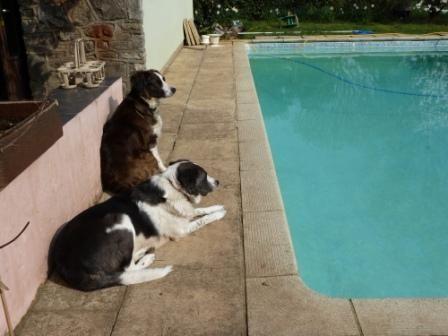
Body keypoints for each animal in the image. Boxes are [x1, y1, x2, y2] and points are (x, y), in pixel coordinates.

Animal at [50, 160, 226, 292]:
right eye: (204, 176)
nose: (218, 181)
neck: (173, 188)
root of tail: (66, 265)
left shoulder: (185, 213)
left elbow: (198, 211)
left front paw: (217, 207)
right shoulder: (181, 229)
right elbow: (202, 219)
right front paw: (219, 214)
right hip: (121, 219)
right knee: (127, 269)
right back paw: (146, 258)